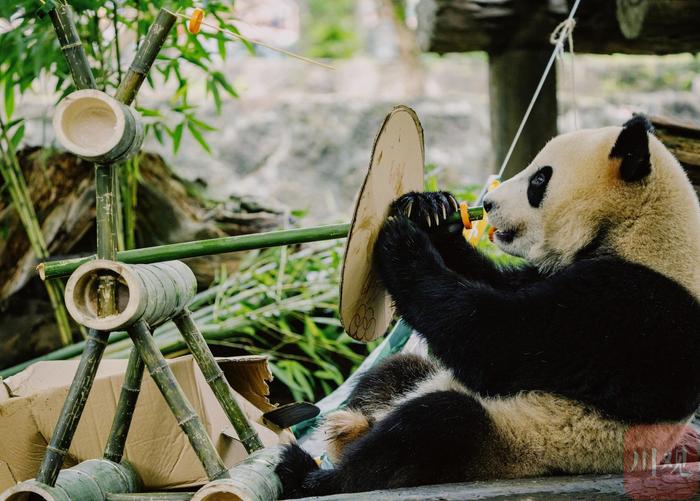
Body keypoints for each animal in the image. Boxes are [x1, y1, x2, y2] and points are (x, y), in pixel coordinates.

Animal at [276, 117, 700, 496]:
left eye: (539, 180)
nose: (488, 203)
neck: (637, 227)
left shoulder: (631, 307)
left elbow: (493, 340)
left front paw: (402, 241)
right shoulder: (553, 273)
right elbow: (492, 282)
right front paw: (430, 211)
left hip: (515, 443)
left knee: (432, 427)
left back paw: (308, 475)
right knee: (394, 372)